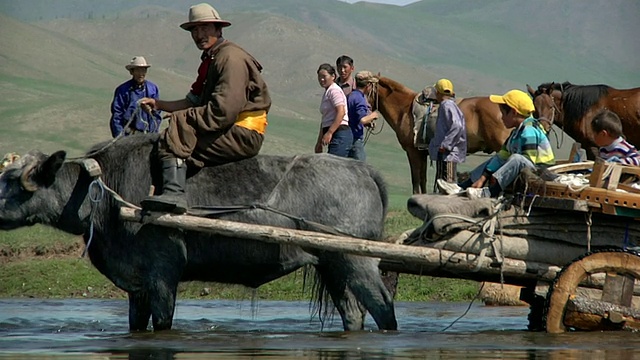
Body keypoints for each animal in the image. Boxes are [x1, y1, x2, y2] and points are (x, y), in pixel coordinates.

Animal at [0, 134, 398, 332]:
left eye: (14, 182)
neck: (107, 193)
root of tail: (362, 170)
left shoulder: (163, 277)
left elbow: (163, 324)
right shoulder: (136, 288)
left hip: (355, 262)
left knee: (383, 307)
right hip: (332, 266)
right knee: (354, 314)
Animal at [368, 75, 512, 194]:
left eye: (364, 87)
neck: (404, 109)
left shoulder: (412, 151)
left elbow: (415, 180)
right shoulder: (422, 152)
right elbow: (423, 179)